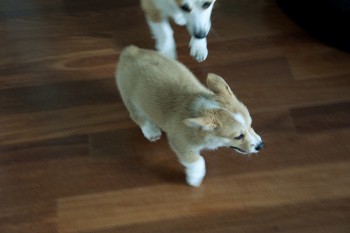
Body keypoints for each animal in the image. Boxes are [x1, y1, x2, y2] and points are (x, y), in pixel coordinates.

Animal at [116, 46, 264, 187]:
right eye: (238, 136)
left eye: (251, 124)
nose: (260, 145)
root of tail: (130, 51)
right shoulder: (180, 143)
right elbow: (197, 161)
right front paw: (195, 179)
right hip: (130, 99)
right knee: (138, 116)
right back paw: (151, 131)